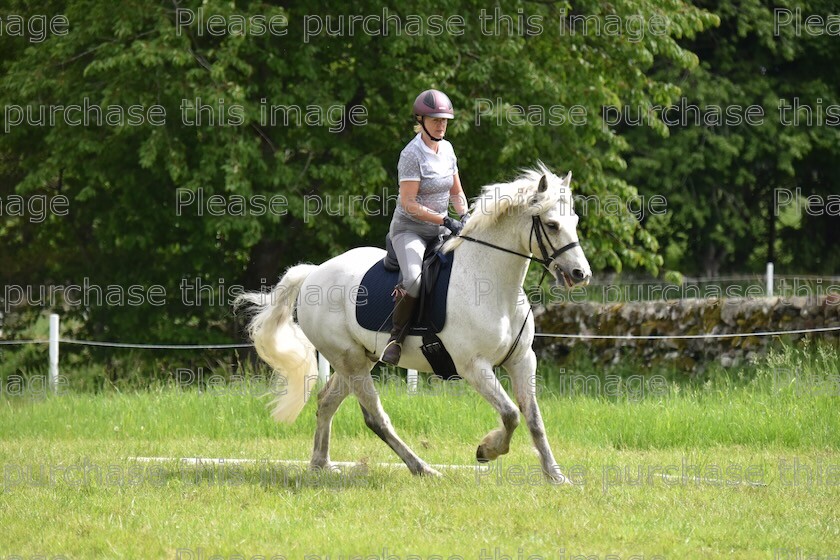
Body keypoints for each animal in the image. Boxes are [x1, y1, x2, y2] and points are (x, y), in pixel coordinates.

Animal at [233, 162, 592, 482]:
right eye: (551, 224)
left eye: (574, 220)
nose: (581, 274)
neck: (493, 286)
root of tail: (313, 273)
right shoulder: (474, 366)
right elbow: (510, 414)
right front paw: (486, 451)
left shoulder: (521, 360)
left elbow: (533, 418)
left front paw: (555, 476)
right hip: (349, 359)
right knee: (375, 418)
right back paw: (423, 469)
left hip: (358, 358)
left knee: (326, 402)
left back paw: (321, 465)